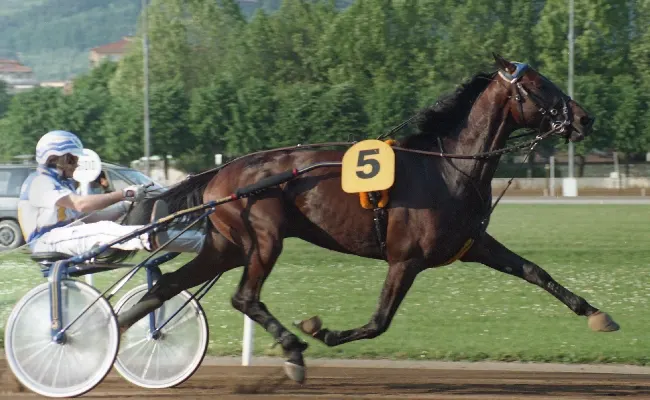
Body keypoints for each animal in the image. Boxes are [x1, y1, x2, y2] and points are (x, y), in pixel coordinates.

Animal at [117, 54, 618, 383]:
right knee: (244, 297)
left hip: (226, 246)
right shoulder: (405, 259)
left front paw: (596, 314)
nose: (585, 118)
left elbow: (535, 271)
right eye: (540, 84)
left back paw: (111, 332)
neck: (446, 166)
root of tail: (223, 172)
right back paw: (292, 351)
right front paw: (320, 330)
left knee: (165, 286)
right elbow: (380, 321)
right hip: (262, 237)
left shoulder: (473, 244)